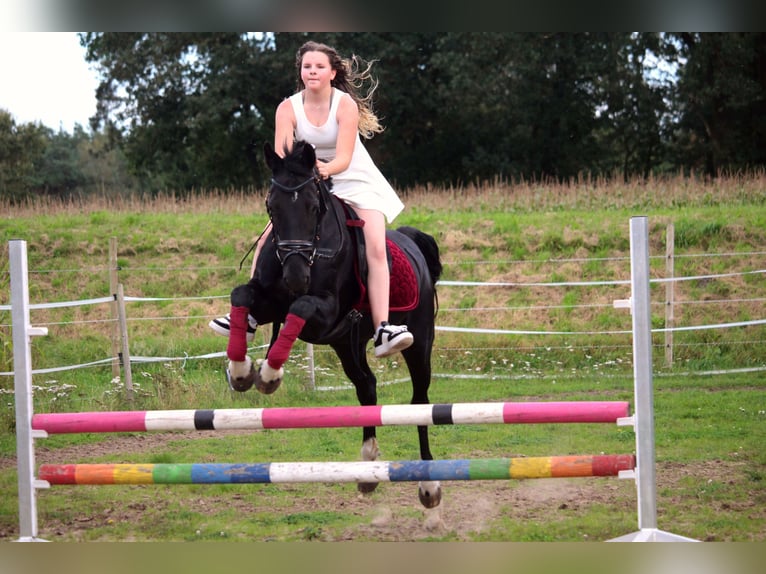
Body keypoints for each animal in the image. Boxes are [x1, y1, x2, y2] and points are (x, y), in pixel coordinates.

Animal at [225, 142, 444, 510]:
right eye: (272, 207)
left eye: (314, 208)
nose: (296, 278)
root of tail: (413, 242)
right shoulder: (271, 302)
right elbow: (242, 295)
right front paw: (241, 370)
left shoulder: (325, 312)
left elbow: (299, 306)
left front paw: (269, 374)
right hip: (347, 344)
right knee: (367, 386)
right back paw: (367, 469)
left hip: (419, 342)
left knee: (420, 403)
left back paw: (429, 485)